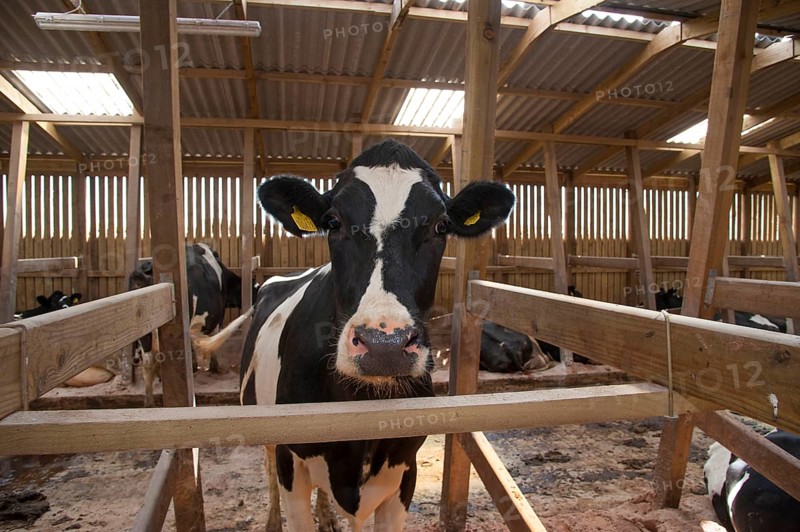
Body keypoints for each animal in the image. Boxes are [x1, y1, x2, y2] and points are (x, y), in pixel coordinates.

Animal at [239, 140, 515, 531]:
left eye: (441, 225)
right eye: (333, 221)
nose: (386, 344)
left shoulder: (405, 469)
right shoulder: (290, 459)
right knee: (267, 471)